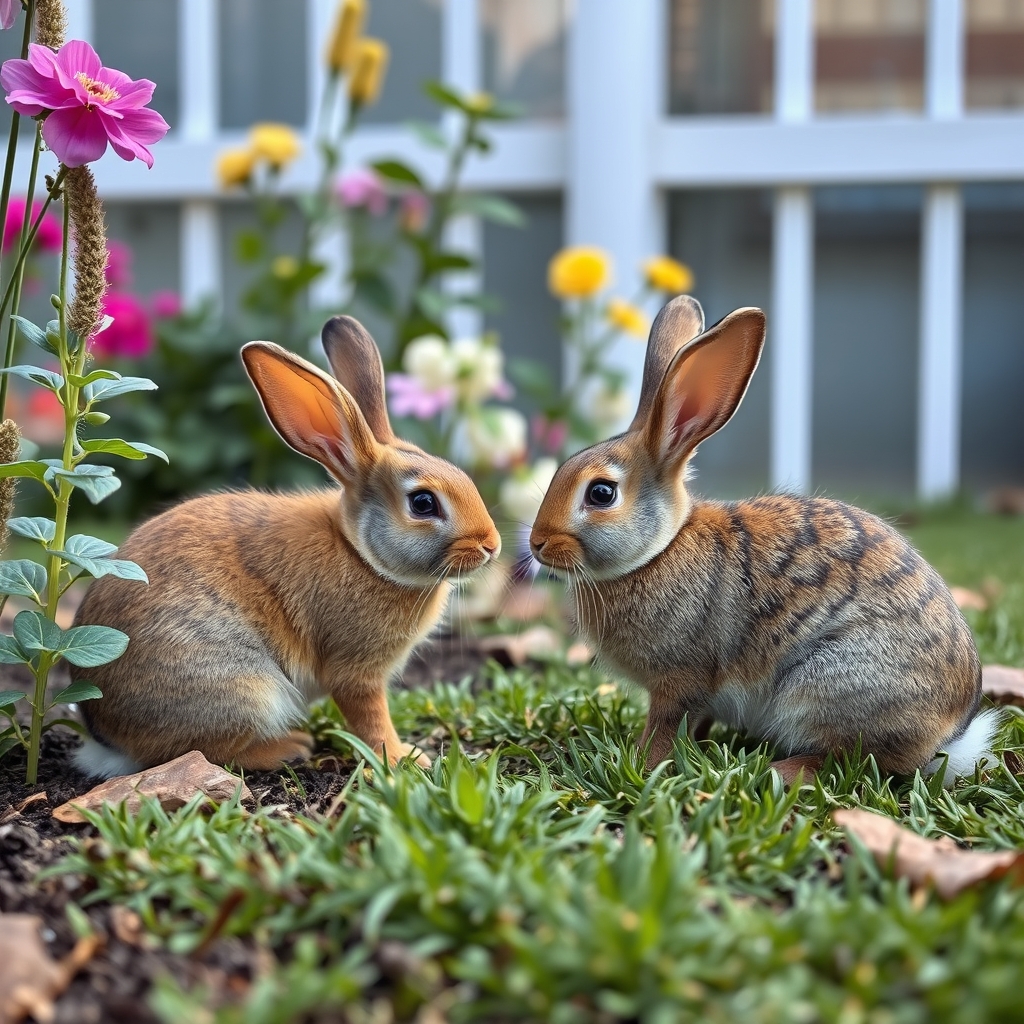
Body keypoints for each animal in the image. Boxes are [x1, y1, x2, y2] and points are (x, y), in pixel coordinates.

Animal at [71, 316, 501, 779]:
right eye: (423, 503)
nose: (491, 545)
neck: (361, 554)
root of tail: (108, 737)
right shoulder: (355, 672)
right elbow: (371, 719)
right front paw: (402, 758)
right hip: (243, 689)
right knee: (205, 752)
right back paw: (289, 748)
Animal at [529, 295, 996, 780]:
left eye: (601, 493)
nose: (536, 543)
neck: (659, 550)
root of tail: (946, 738)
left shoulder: (680, 680)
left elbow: (664, 726)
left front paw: (644, 763)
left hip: (822, 684)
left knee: (849, 759)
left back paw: (778, 771)